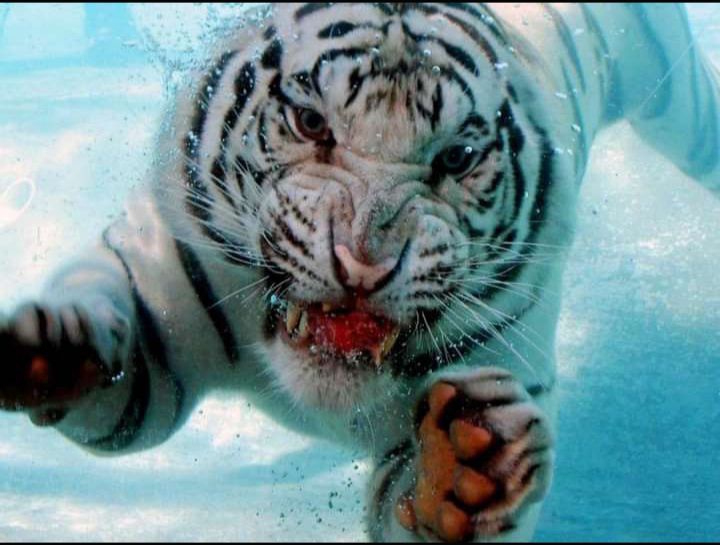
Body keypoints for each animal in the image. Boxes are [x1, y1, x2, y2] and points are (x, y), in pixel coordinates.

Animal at [1, 3, 718, 542]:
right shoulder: (160, 284)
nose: (364, 262)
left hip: (677, 98)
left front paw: (467, 469)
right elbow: (112, 353)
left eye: (457, 158)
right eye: (310, 121)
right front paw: (53, 347)